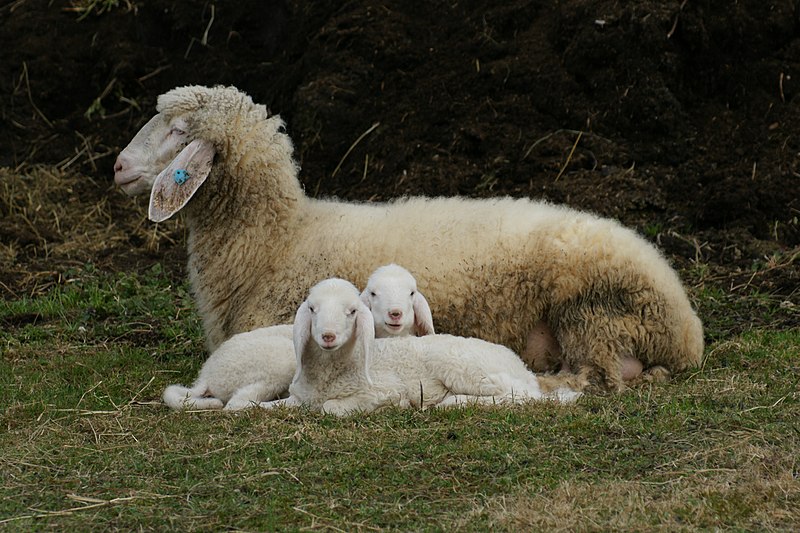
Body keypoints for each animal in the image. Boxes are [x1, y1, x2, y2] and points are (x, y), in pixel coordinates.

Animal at [114, 84, 708, 390]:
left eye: (178, 131)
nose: (117, 167)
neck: (277, 240)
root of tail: (689, 331)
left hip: (593, 312)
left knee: (598, 376)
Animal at [262, 276, 580, 418]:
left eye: (351, 312)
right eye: (312, 309)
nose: (327, 336)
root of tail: (520, 365)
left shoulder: (382, 391)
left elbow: (330, 408)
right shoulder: (298, 399)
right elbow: (263, 407)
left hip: (466, 368)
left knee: (520, 395)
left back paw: (453, 402)